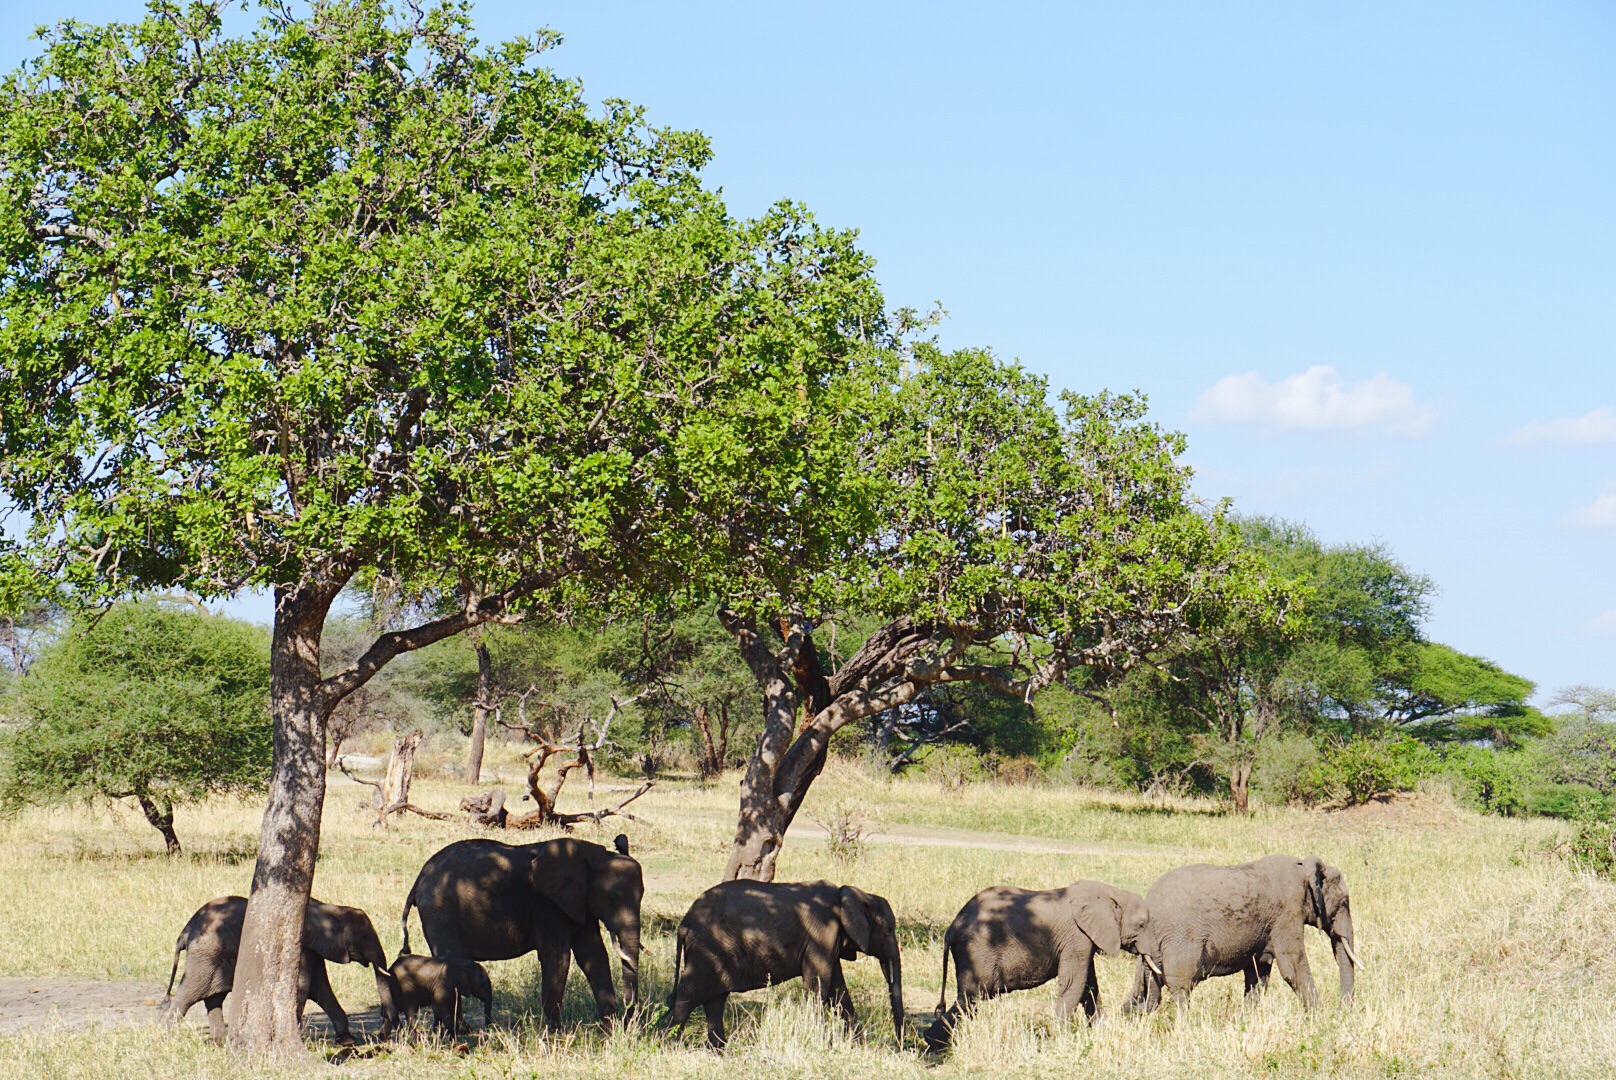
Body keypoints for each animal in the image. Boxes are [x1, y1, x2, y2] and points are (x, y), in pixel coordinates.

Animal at [162, 892, 395, 1047]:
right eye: (363, 937)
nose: (380, 1037)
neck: (331, 908)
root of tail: (185, 931)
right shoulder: (299, 946)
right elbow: (304, 986)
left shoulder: (313, 950)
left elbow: (321, 990)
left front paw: (347, 1041)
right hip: (206, 955)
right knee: (189, 994)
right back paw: (168, 1036)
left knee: (213, 998)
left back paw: (220, 1041)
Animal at [400, 834, 639, 1028]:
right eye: (612, 898)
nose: (628, 1020)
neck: (595, 857)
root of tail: (418, 880)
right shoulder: (547, 904)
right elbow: (558, 957)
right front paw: (556, 1033)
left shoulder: (579, 902)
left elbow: (593, 954)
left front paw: (609, 1030)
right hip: (440, 911)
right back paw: (461, 1030)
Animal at [662, 879, 904, 1047]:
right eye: (889, 929)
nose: (900, 1046)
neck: (851, 893)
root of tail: (684, 923)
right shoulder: (822, 933)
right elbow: (818, 985)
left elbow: (838, 991)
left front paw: (859, 1045)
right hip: (706, 950)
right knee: (689, 996)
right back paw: (668, 1045)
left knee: (715, 1001)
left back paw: (720, 1052)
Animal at [917, 879, 1157, 1047]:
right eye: (1141, 924)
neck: (1111, 894)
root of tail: (952, 928)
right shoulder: (1076, 937)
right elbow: (1074, 984)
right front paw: (1063, 1038)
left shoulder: (1085, 939)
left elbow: (1089, 985)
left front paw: (1100, 1032)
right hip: (976, 949)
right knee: (971, 999)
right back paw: (934, 1045)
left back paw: (930, 1042)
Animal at [1124, 853, 1363, 1015]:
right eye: (1344, 902)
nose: (1342, 1010)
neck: (1303, 867)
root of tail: (1149, 904)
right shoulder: (1287, 913)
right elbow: (1292, 967)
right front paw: (1319, 1017)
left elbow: (1258, 971)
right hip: (1180, 939)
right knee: (1180, 986)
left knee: (1147, 993)